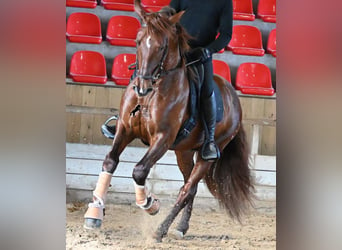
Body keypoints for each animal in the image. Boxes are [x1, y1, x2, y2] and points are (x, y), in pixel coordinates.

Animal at [83, 0, 254, 242]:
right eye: (137, 41)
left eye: (162, 47)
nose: (142, 88)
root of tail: (234, 98)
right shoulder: (125, 129)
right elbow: (109, 161)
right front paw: (94, 213)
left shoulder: (162, 138)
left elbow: (139, 171)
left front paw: (150, 204)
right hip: (184, 152)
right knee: (189, 187)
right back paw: (181, 227)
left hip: (210, 152)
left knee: (187, 188)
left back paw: (160, 230)